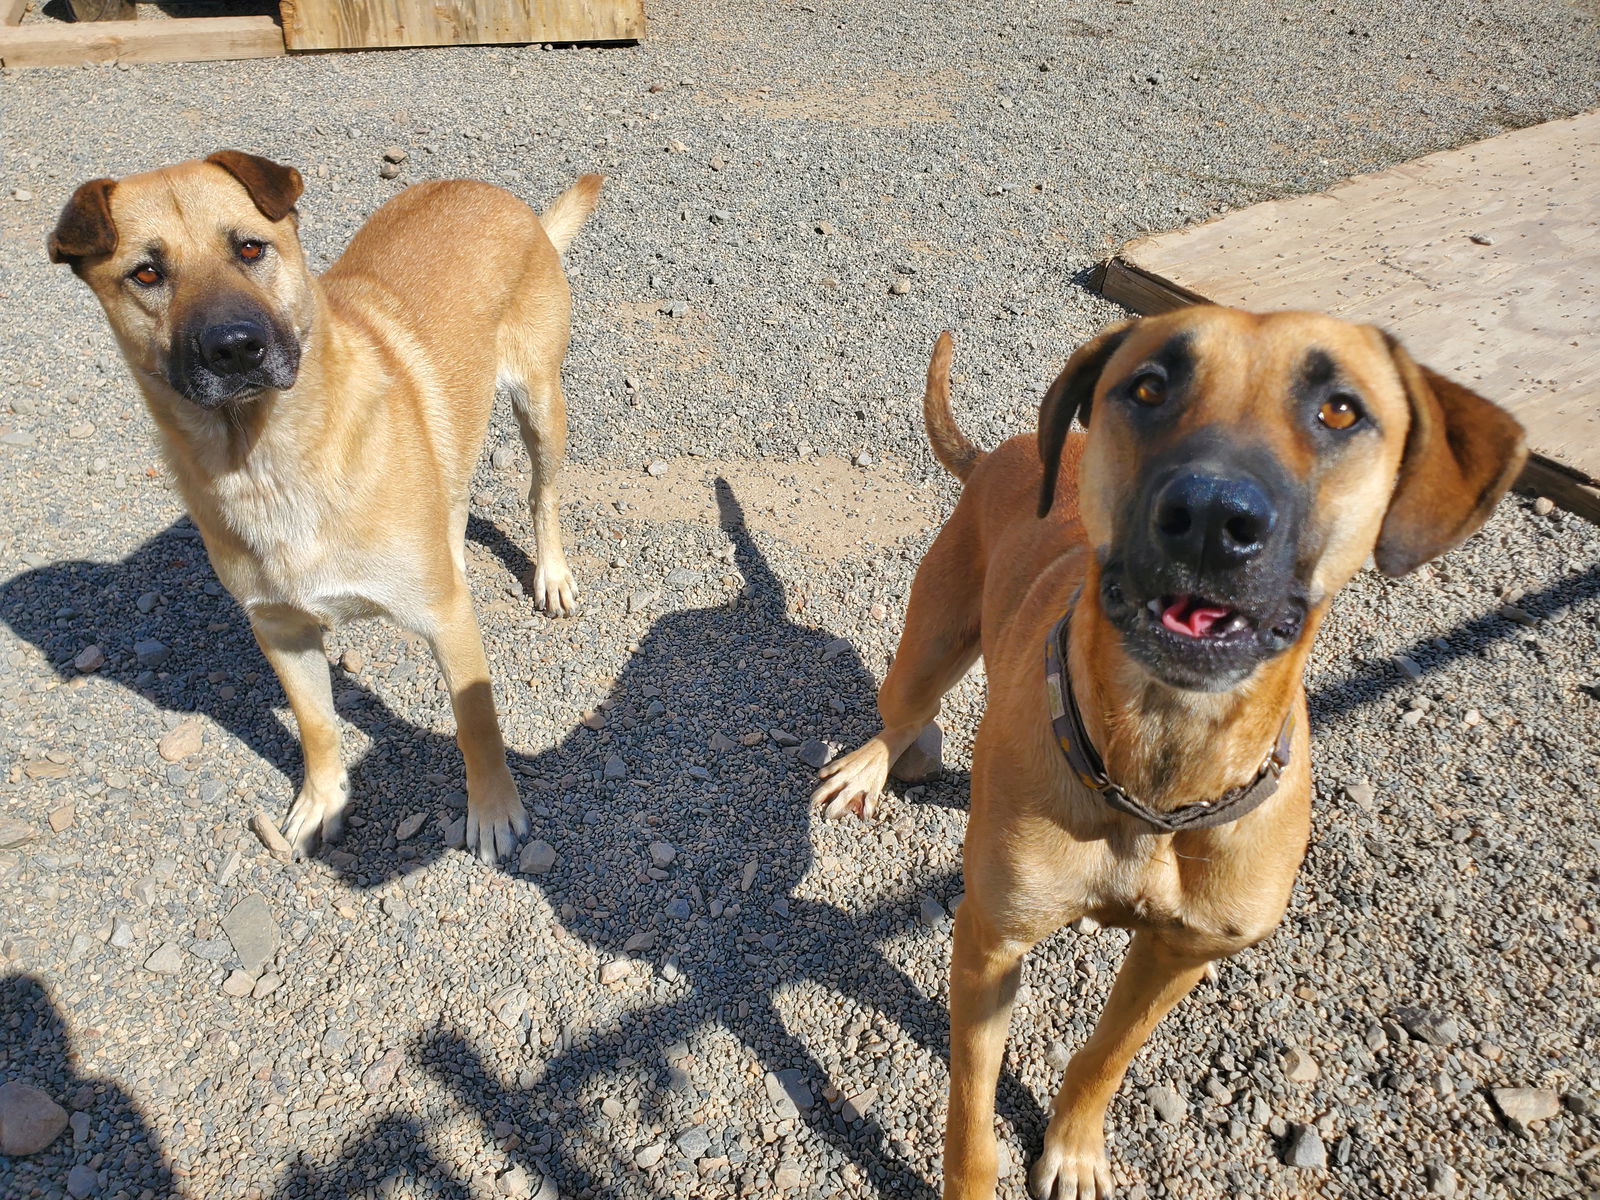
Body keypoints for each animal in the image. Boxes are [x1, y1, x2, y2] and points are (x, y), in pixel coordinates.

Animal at [50, 152, 601, 864]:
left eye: (250, 247)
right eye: (146, 273)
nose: (235, 346)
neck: (267, 462)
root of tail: (504, 200)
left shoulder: (444, 620)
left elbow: (475, 722)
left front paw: (494, 810)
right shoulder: (280, 629)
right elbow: (316, 724)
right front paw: (322, 801)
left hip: (540, 405)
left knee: (542, 494)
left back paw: (551, 574)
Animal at [819, 307, 1529, 1196]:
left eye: (1340, 410)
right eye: (1149, 387)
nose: (1213, 518)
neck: (1159, 771)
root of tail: (999, 454)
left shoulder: (1182, 952)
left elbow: (1106, 1055)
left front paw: (1074, 1149)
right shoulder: (989, 941)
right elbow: (970, 1116)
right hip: (927, 649)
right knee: (903, 711)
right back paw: (876, 762)